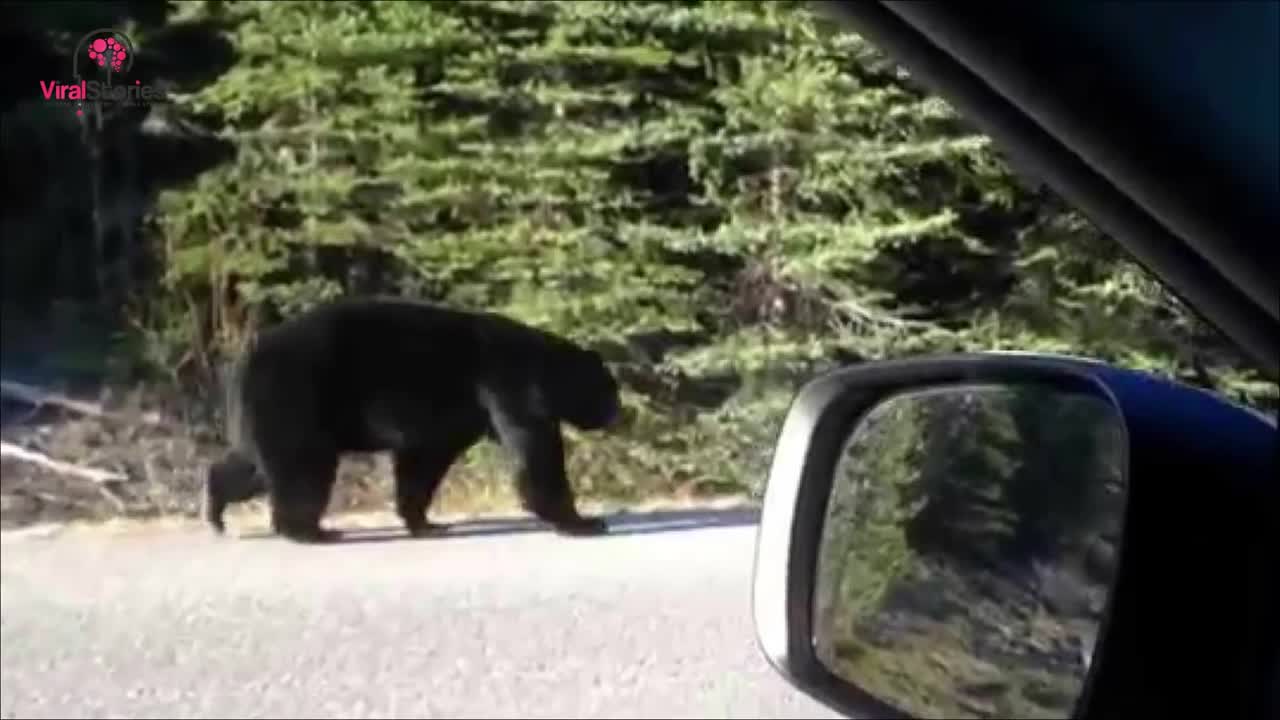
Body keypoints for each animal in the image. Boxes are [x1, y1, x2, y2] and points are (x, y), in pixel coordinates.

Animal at [198, 294, 619, 540]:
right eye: (609, 389)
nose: (617, 412)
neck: (543, 366)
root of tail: (246, 358)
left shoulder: (452, 420)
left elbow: (423, 462)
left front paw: (426, 523)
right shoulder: (509, 384)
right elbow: (536, 449)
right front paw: (582, 522)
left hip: (266, 411)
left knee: (255, 464)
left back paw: (217, 510)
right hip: (296, 394)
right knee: (301, 464)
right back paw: (309, 531)